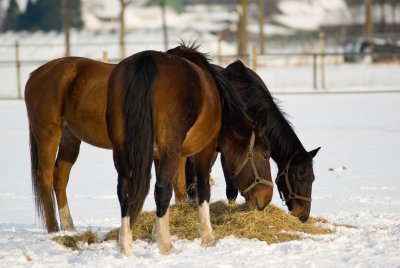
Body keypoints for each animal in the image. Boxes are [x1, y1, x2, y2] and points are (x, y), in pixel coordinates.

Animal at [104, 46, 274, 255]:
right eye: (266, 154)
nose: (266, 197)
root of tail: (146, 60)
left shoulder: (158, 155)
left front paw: (154, 232)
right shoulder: (205, 149)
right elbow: (202, 188)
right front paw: (208, 237)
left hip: (121, 149)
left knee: (125, 190)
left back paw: (126, 246)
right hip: (170, 148)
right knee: (161, 190)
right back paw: (166, 246)